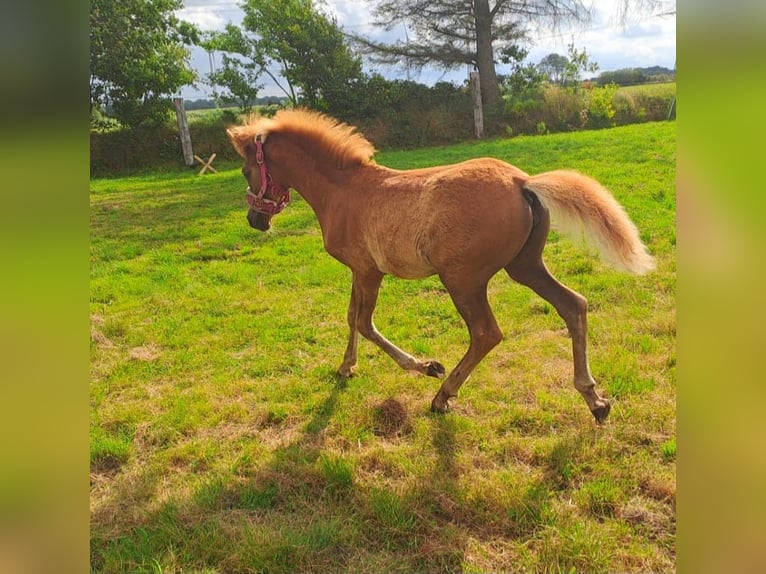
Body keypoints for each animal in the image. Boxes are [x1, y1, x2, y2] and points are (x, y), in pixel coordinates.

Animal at [226, 109, 656, 424]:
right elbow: (350, 317)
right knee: (574, 305)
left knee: (486, 333)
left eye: (247, 170)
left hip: (462, 278)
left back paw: (442, 395)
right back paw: (595, 401)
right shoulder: (357, 270)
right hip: (525, 266)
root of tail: (523, 182)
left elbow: (364, 323)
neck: (343, 191)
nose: (255, 221)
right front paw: (346, 367)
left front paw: (426, 365)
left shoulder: (369, 271)